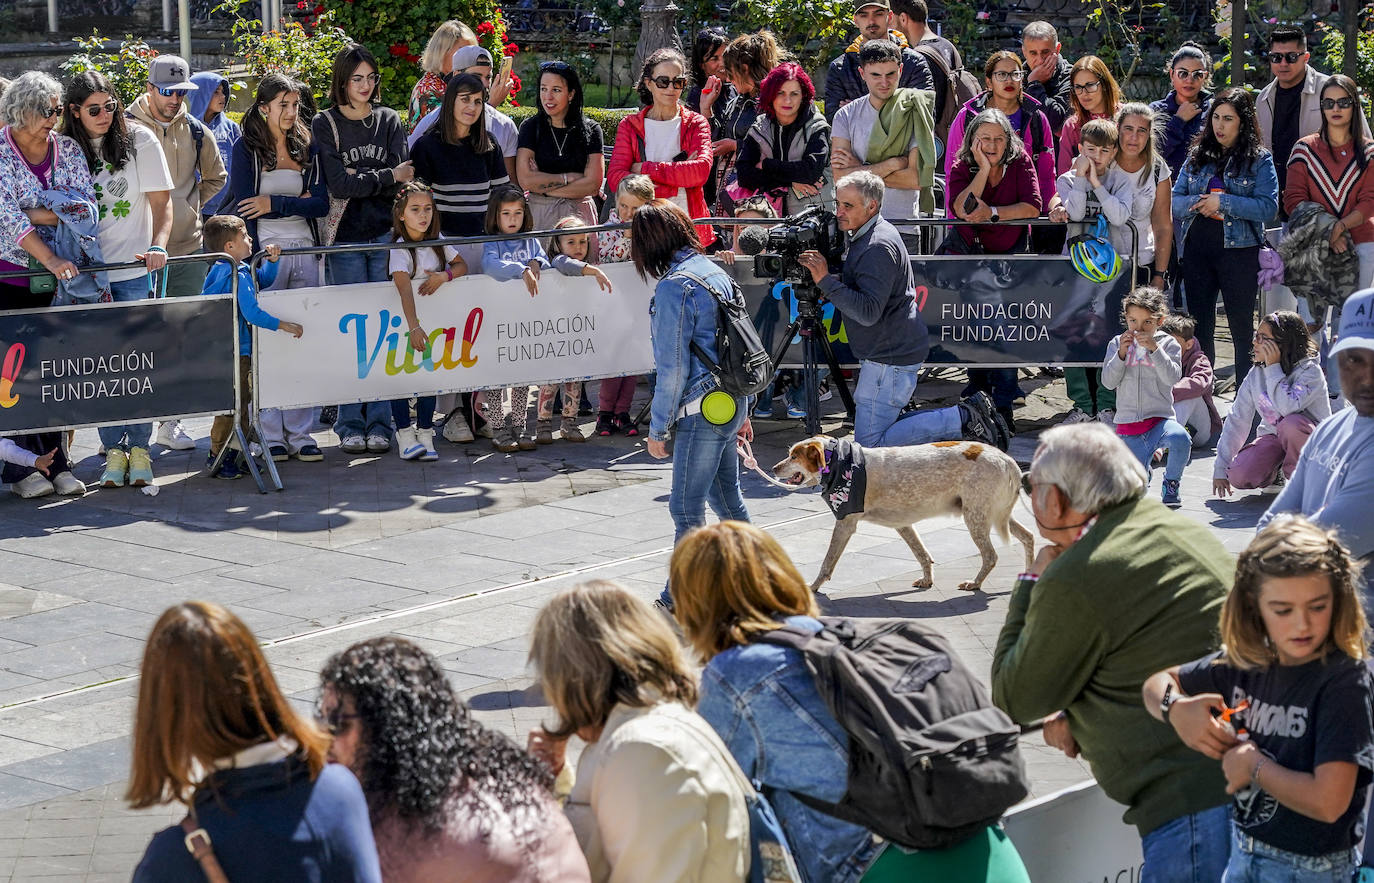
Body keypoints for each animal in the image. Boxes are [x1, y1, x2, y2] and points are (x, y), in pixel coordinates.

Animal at [774, 436, 1033, 593]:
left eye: (794, 456)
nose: (774, 468)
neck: (839, 462)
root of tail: (1006, 458)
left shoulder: (845, 523)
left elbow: (827, 563)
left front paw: (813, 587)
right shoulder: (903, 524)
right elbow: (922, 555)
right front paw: (927, 580)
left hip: (976, 518)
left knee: (990, 555)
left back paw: (976, 583)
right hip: (995, 515)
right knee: (1028, 537)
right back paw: (1030, 575)